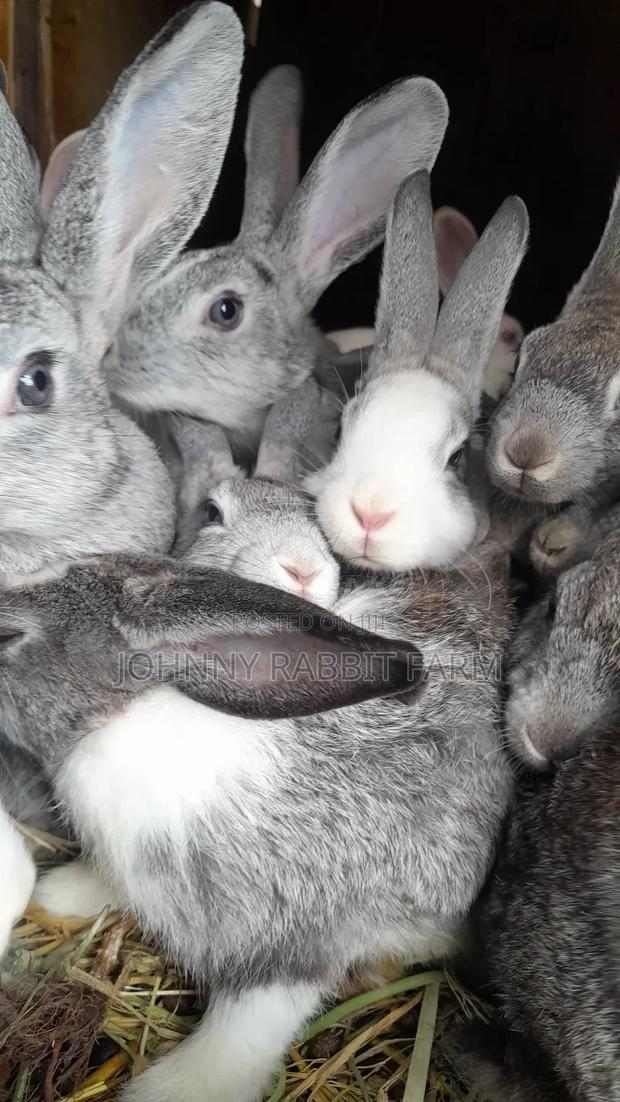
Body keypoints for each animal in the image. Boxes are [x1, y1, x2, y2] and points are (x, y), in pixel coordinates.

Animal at [11, 528, 513, 1102]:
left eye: (8, 636)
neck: (123, 721)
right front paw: (59, 895)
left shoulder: (293, 950)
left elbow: (240, 1038)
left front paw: (170, 1090)